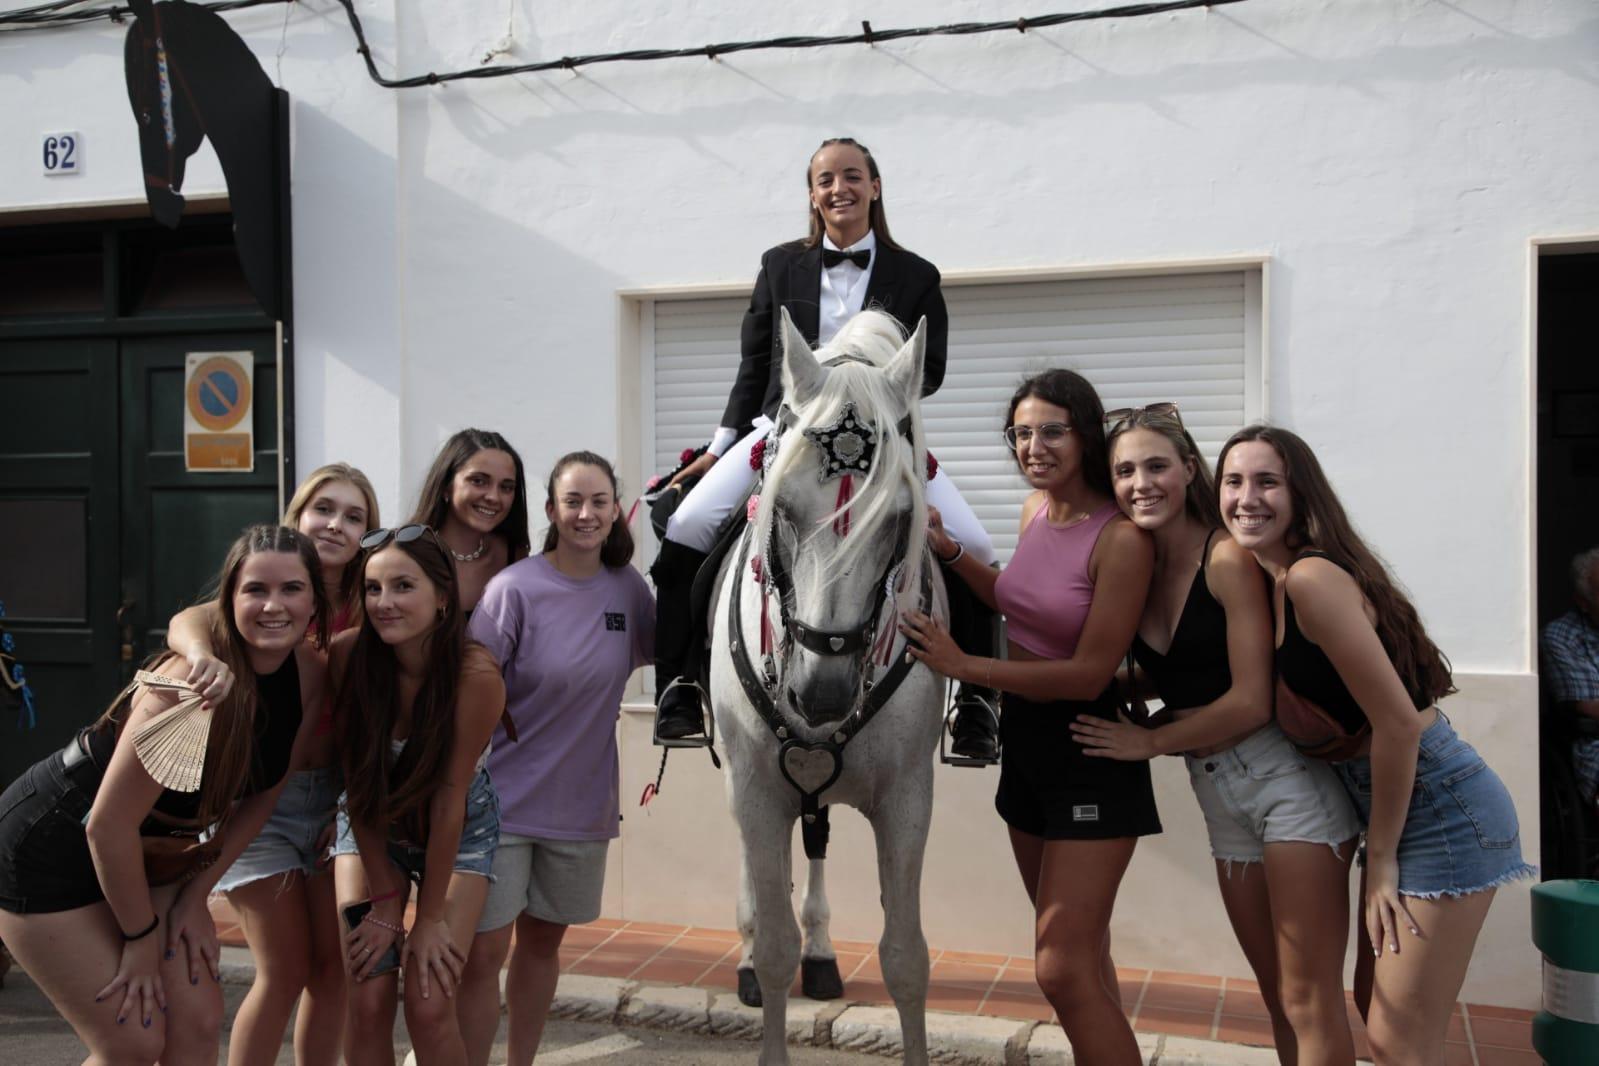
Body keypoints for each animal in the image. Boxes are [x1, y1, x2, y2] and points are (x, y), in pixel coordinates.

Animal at [713, 303, 946, 1061]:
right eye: (781, 509)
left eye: (898, 518)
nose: (821, 692)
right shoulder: (757, 789)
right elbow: (774, 943)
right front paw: (763, 962)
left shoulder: (907, 798)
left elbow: (906, 958)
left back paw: (820, 952)